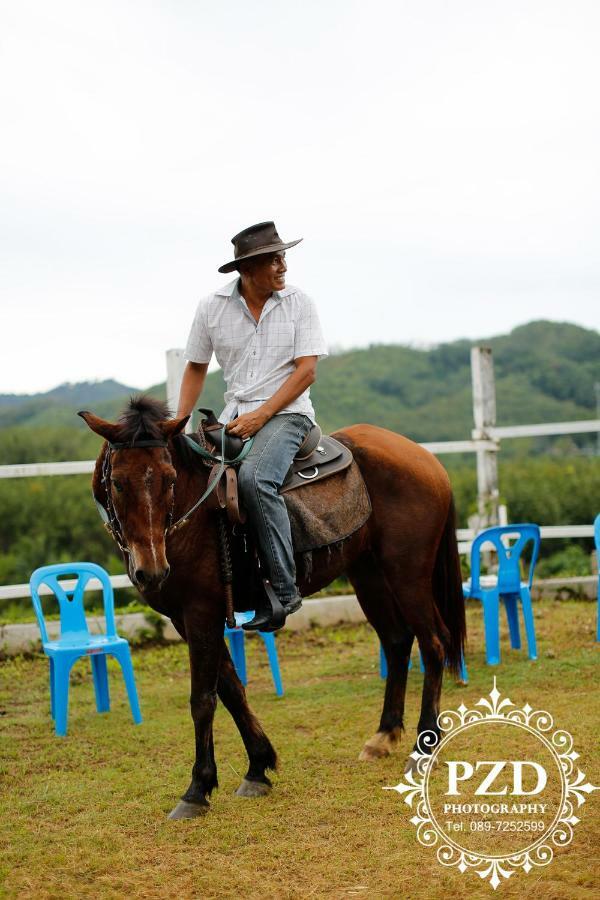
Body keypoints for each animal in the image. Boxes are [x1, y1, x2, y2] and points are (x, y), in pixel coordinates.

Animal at [79, 398, 464, 820]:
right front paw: (258, 767)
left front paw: (197, 789)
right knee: (397, 642)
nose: (151, 570)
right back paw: (382, 737)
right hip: (369, 575)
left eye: (168, 479)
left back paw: (423, 747)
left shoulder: (200, 613)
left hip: (407, 574)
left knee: (434, 643)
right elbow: (231, 690)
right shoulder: (186, 618)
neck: (197, 507)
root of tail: (426, 459)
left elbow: (203, 699)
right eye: (118, 482)